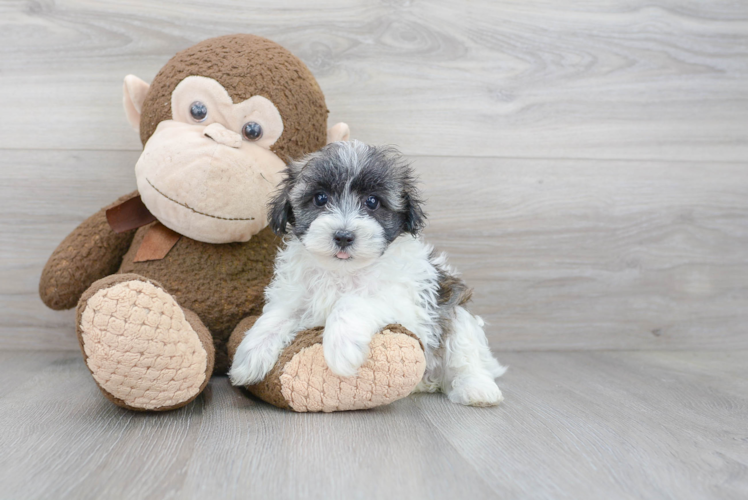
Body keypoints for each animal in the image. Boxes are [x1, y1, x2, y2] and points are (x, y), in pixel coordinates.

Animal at [231, 141, 506, 406]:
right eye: (320, 198)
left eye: (372, 202)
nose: (343, 236)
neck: (342, 271)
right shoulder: (296, 296)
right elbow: (277, 316)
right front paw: (249, 356)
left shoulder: (406, 305)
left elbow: (353, 302)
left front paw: (341, 347)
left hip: (456, 314)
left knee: (465, 355)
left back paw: (477, 388)